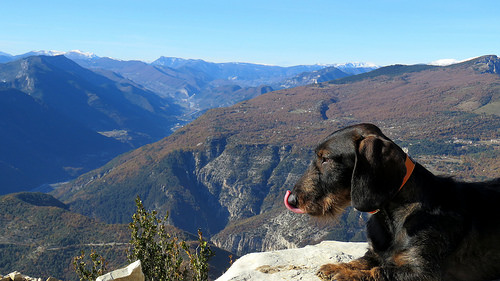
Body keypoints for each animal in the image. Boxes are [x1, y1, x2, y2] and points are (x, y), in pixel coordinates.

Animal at [286, 123, 500, 280]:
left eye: (326, 159)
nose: (292, 199)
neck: (395, 215)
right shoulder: (374, 253)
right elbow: (362, 261)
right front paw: (337, 267)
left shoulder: (424, 273)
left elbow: (380, 271)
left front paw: (346, 274)